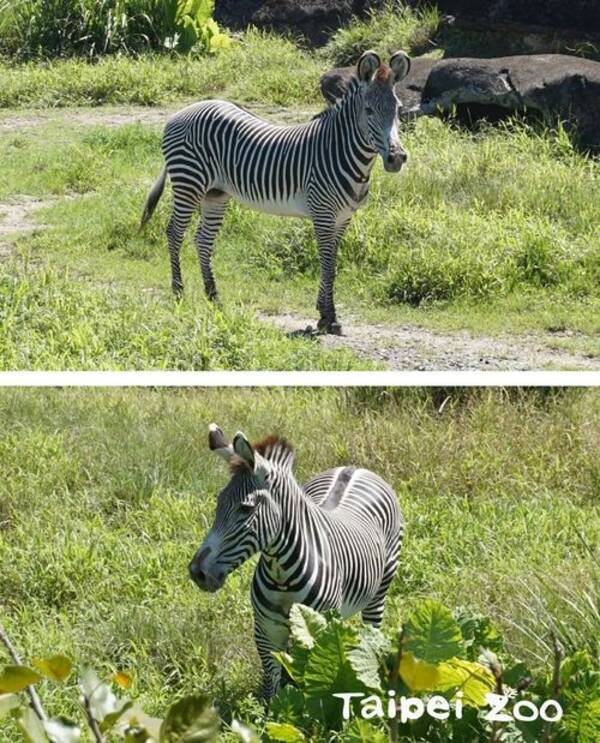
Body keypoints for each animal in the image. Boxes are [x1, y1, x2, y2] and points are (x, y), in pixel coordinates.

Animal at [142, 49, 412, 334]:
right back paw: (178, 294)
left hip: (215, 194)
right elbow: (327, 263)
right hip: (188, 182)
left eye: (398, 110)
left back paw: (214, 297)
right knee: (174, 233)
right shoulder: (323, 215)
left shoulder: (343, 218)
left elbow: (333, 264)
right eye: (368, 110)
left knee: (203, 240)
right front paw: (328, 317)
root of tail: (183, 111)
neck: (341, 151)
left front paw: (326, 313)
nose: (397, 158)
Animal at [188, 424, 404, 696]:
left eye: (246, 509)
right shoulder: (265, 632)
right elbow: (272, 687)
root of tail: (356, 468)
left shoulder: (318, 632)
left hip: (381, 588)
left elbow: (312, 684)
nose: (197, 572)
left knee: (372, 627)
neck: (281, 574)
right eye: (218, 503)